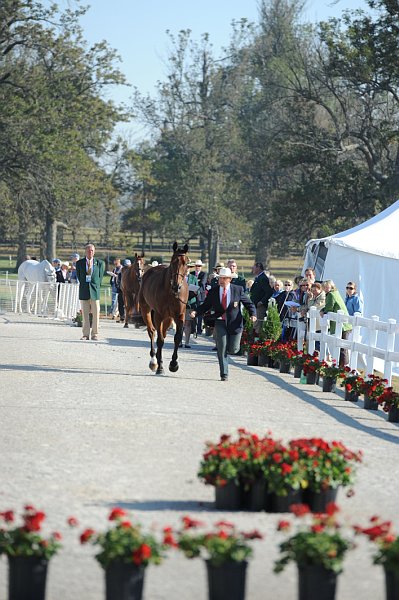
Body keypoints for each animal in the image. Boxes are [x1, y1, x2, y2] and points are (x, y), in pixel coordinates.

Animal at [139, 241, 189, 372]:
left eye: (185, 263)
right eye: (173, 261)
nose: (176, 286)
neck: (171, 293)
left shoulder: (179, 316)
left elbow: (177, 337)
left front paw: (173, 364)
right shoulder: (159, 315)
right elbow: (160, 340)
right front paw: (160, 365)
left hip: (168, 318)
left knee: (163, 333)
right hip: (146, 310)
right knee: (152, 332)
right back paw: (154, 361)